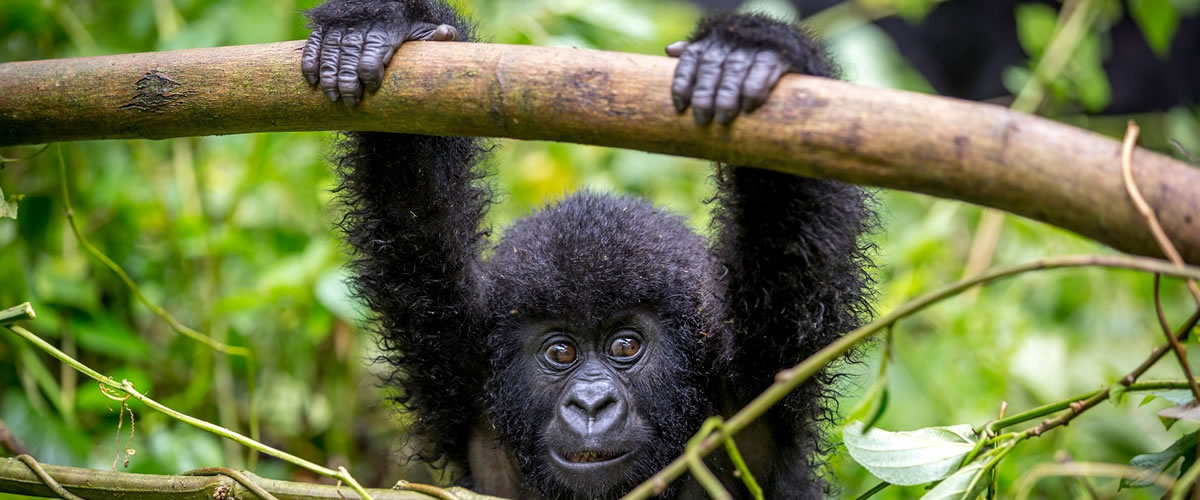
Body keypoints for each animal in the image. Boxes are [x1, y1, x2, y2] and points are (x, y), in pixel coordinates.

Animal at [304, 1, 873, 496]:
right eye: (561, 352)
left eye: (625, 346)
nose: (592, 404)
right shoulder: (457, 357)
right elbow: (413, 208)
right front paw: (382, 26)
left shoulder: (760, 370)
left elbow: (791, 234)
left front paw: (752, 51)